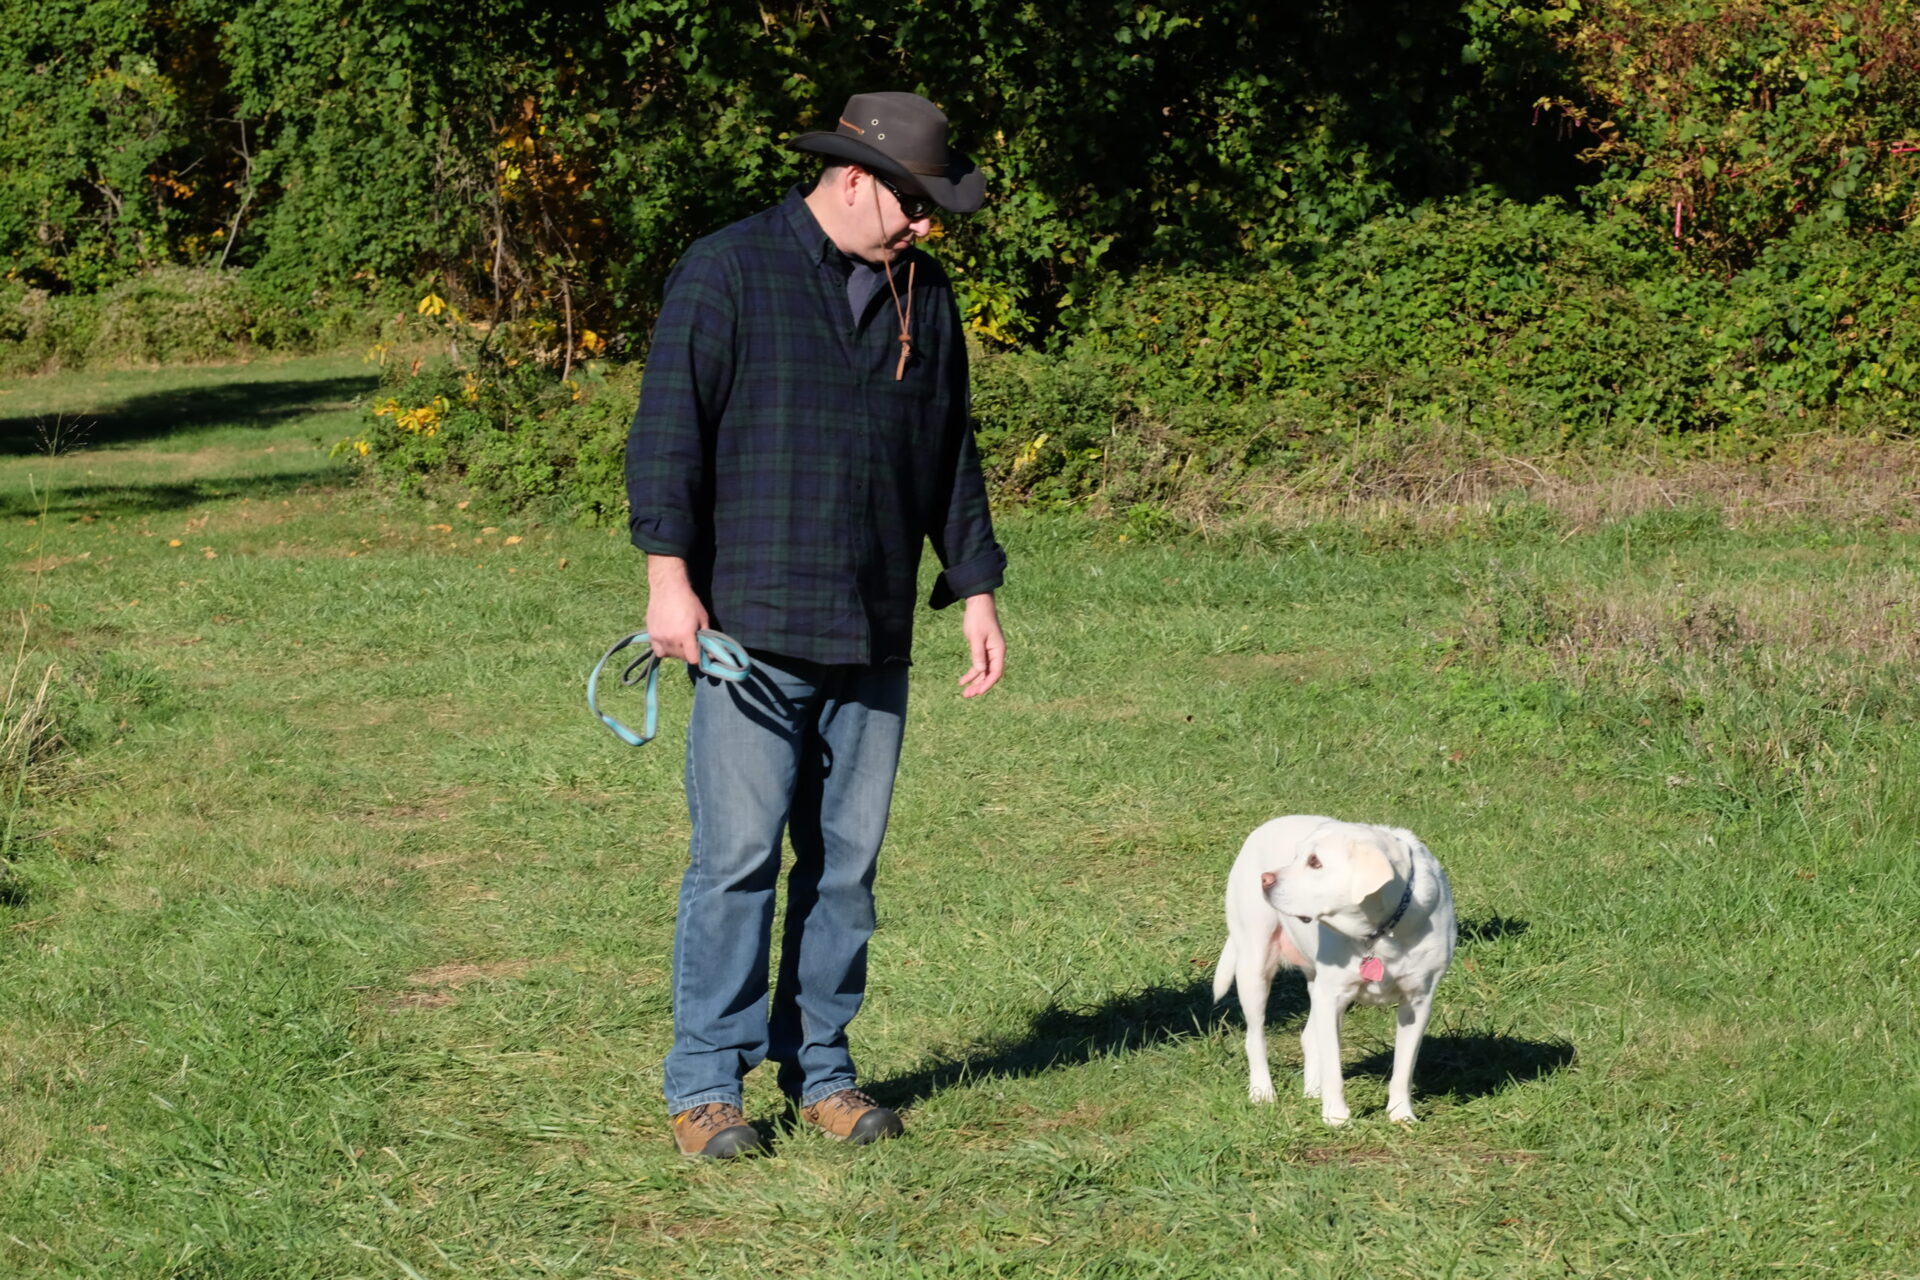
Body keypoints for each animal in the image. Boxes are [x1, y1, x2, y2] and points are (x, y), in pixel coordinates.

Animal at [1213, 817, 1451, 1128]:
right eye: (1296, 856)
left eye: (1315, 862)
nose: (1265, 879)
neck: (1381, 932)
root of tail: (1265, 825)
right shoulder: (1332, 996)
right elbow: (1334, 1067)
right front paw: (1336, 1117)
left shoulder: (1418, 1002)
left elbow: (1404, 1066)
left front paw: (1401, 1114)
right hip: (1255, 967)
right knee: (1256, 1038)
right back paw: (1262, 1092)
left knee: (1309, 1037)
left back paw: (1312, 1090)